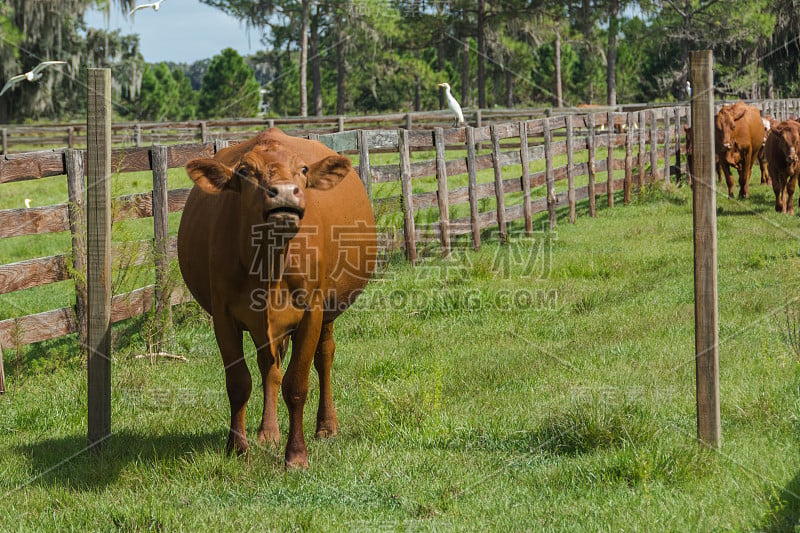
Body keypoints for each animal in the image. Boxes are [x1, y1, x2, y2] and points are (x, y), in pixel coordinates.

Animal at [177, 128, 376, 466]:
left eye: (303, 170)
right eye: (245, 172)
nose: (284, 191)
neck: (269, 262)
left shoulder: (312, 313)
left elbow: (296, 384)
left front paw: (296, 456)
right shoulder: (224, 316)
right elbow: (239, 382)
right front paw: (237, 448)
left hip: (328, 312)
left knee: (324, 358)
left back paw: (326, 425)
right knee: (269, 367)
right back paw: (268, 432)